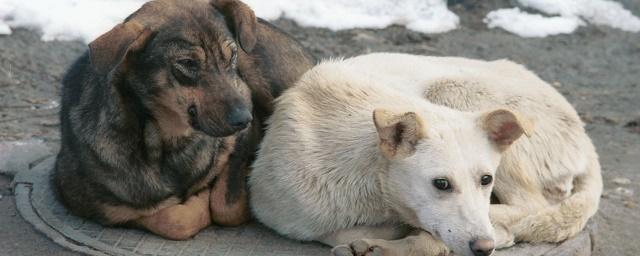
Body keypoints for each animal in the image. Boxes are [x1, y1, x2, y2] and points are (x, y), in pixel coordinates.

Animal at [53, 0, 314, 240]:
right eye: (188, 63)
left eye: (232, 57)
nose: (244, 119)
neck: (168, 142)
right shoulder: (96, 205)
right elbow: (173, 220)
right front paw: (197, 200)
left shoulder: (242, 128)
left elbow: (226, 206)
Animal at [249, 52, 600, 256]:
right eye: (441, 184)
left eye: (486, 179)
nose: (483, 248)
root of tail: (586, 138)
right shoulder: (278, 213)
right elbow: (342, 231)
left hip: (455, 90)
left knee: (533, 206)